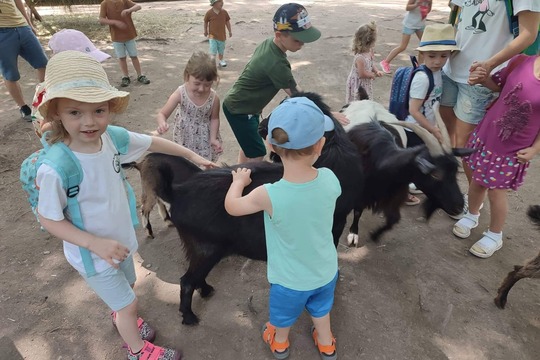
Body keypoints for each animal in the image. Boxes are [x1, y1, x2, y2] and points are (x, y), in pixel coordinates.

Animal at [146, 91, 362, 324]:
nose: (261, 128)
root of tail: (178, 193)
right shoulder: (335, 223)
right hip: (205, 249)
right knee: (186, 280)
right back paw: (189, 316)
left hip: (200, 249)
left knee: (195, 277)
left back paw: (206, 290)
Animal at [344, 100, 470, 243]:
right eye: (435, 174)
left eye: (455, 170)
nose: (459, 206)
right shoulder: (361, 191)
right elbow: (357, 211)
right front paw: (353, 234)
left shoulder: (395, 194)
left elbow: (393, 219)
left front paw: (375, 235)